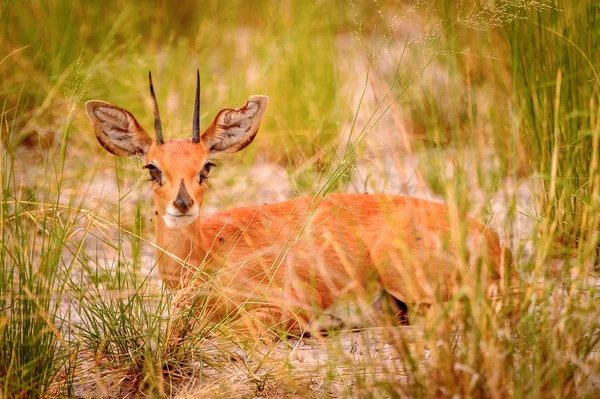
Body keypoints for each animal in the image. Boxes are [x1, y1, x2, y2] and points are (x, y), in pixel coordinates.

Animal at [85, 73, 510, 336]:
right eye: (152, 167)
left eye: (206, 165)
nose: (182, 203)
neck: (207, 256)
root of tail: (496, 244)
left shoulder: (291, 305)